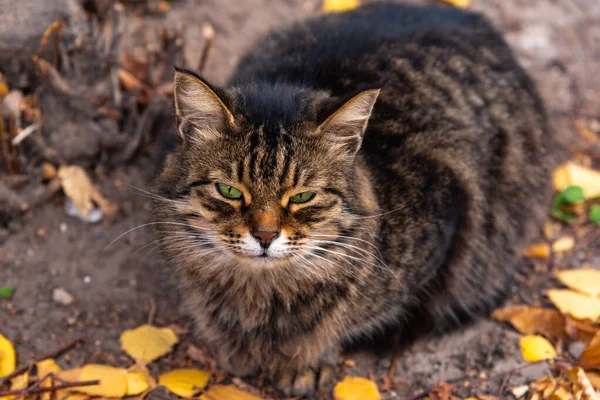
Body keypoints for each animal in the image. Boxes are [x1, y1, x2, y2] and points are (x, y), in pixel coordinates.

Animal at [154, 2, 556, 396]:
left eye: (303, 196)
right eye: (231, 191)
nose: (265, 236)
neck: (259, 291)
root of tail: (478, 21)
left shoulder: (449, 216)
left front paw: (305, 362)